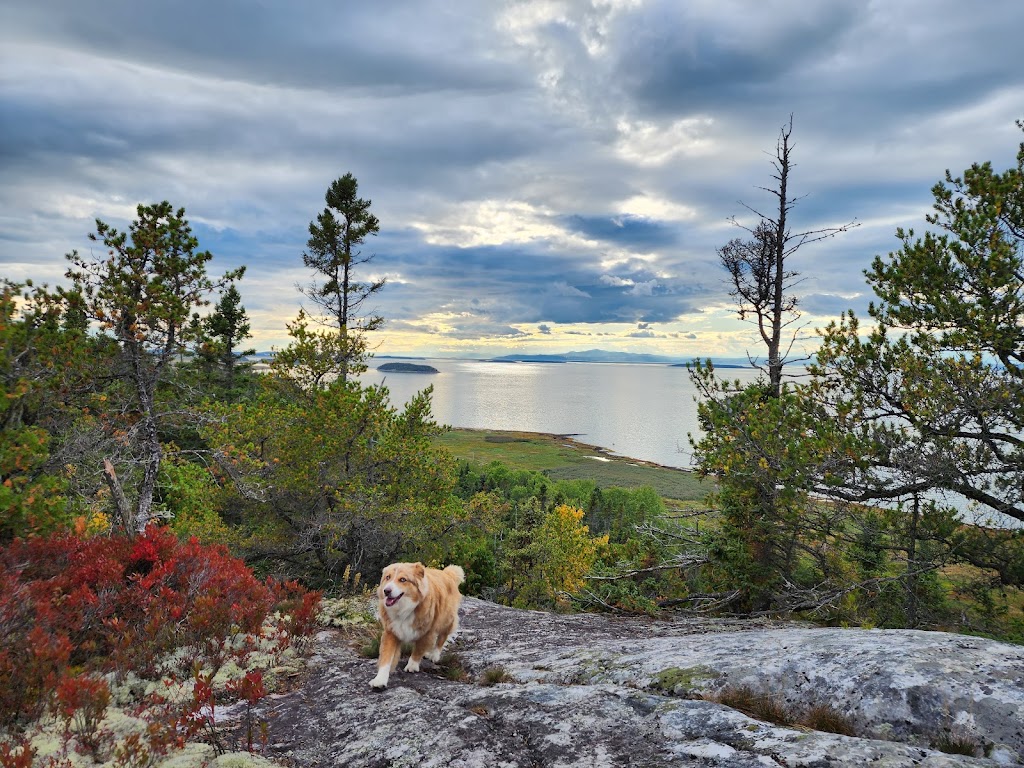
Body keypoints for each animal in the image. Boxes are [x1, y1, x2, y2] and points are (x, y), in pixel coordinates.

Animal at [368, 561, 464, 692]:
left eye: (403, 579)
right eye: (388, 577)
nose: (386, 591)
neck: (404, 609)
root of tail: (447, 573)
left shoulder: (427, 631)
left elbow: (418, 649)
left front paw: (412, 666)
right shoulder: (391, 632)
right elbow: (386, 658)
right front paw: (380, 680)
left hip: (446, 619)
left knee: (442, 637)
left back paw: (434, 654)